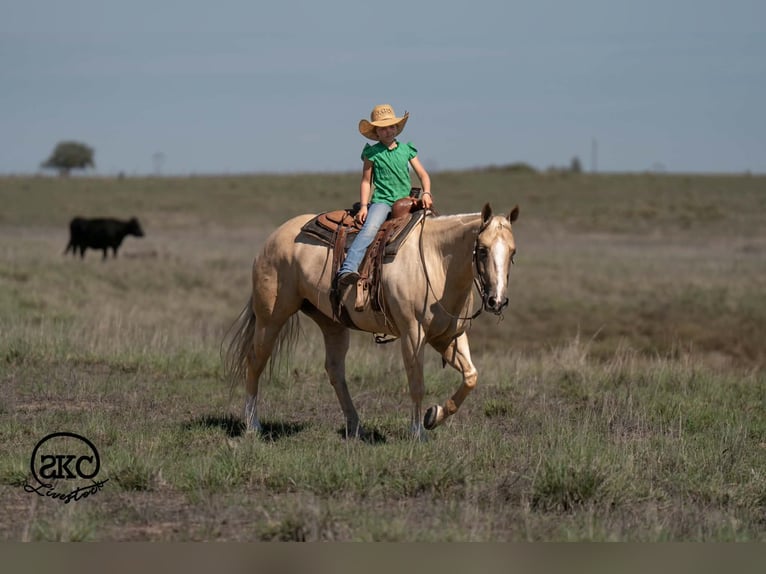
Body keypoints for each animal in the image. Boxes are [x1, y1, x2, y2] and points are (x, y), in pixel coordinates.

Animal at [224, 203, 519, 440]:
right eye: (482, 250)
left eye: (513, 252)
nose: (497, 300)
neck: (436, 261)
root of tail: (273, 238)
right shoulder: (412, 334)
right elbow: (417, 384)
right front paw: (418, 433)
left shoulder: (449, 336)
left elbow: (471, 377)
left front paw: (433, 416)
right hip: (270, 318)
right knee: (255, 362)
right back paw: (252, 425)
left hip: (332, 324)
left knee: (335, 370)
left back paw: (356, 427)